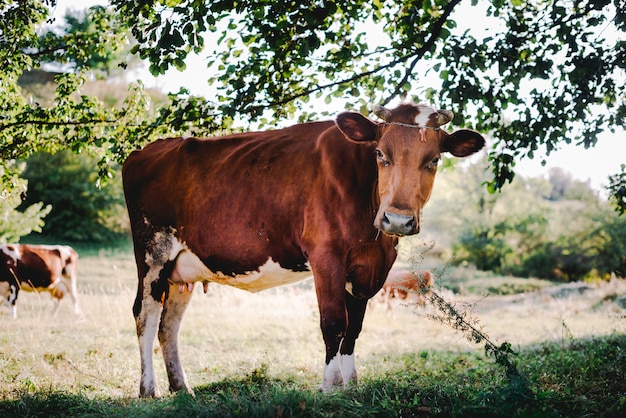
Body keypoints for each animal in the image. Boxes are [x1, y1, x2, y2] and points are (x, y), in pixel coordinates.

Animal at [122, 103, 482, 396]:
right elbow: (334, 323)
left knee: (169, 324)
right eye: (380, 154)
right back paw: (149, 389)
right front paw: (330, 386)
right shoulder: (326, 256)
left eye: (434, 159)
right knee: (145, 315)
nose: (397, 219)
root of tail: (149, 149)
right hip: (153, 251)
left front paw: (351, 384)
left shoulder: (368, 269)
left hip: (181, 269)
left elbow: (354, 327)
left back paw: (181, 388)